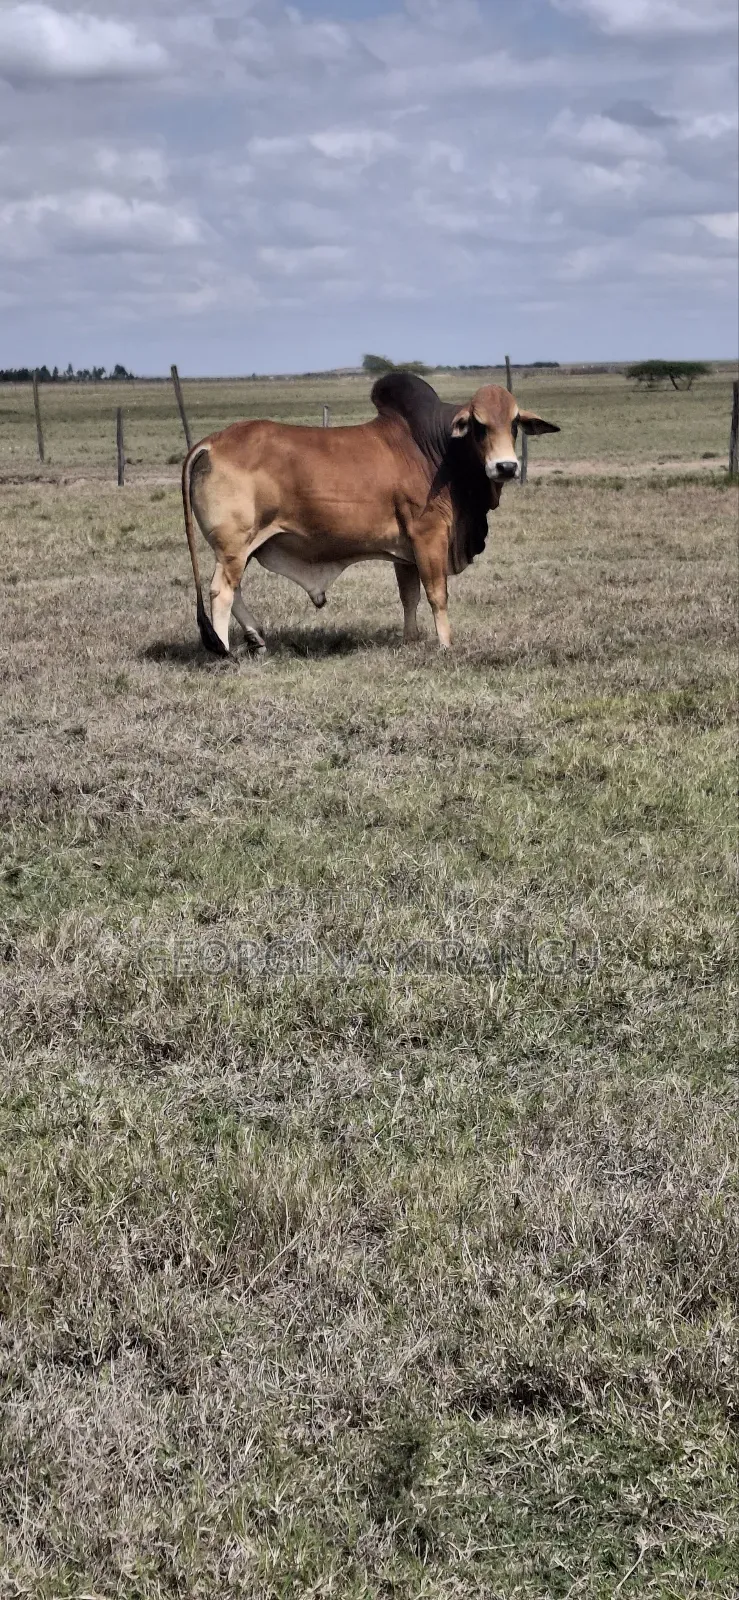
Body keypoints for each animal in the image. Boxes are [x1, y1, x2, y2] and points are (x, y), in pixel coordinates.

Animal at [181, 372, 559, 654]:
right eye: (479, 425)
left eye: (514, 423)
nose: (506, 467)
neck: (438, 450)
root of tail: (211, 443)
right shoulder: (429, 535)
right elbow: (437, 594)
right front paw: (445, 645)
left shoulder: (405, 552)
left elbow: (409, 596)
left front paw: (411, 640)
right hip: (234, 544)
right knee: (221, 591)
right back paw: (225, 651)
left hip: (243, 547)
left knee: (235, 590)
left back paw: (257, 638)